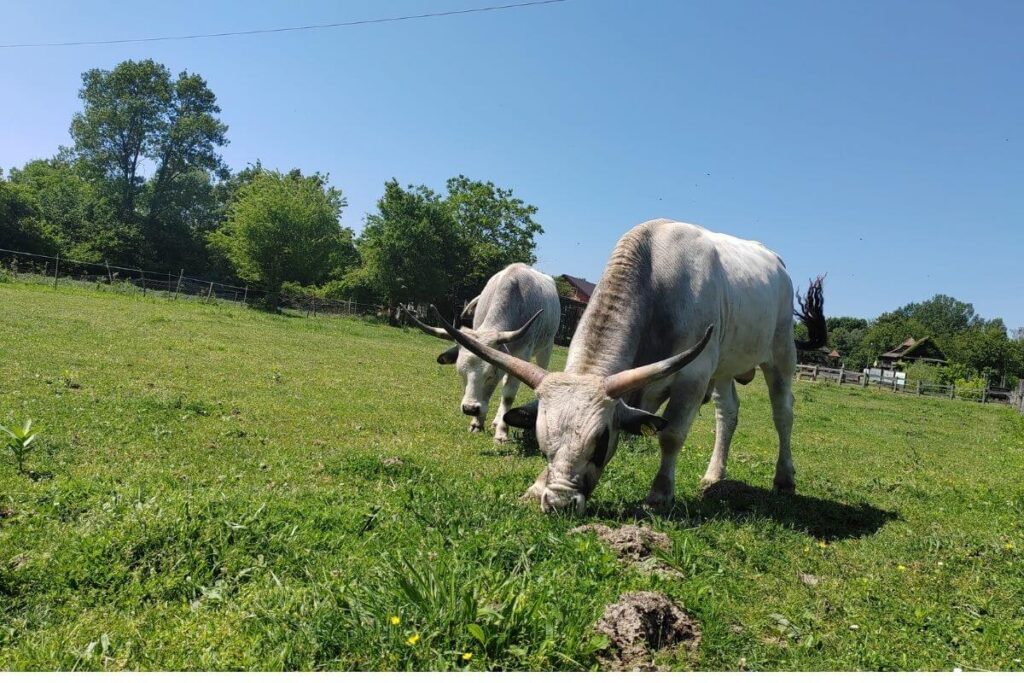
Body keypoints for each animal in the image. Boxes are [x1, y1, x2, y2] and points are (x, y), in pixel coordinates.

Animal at [405, 263, 560, 444]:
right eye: (461, 373)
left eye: (490, 375)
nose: (470, 409)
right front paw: (477, 424)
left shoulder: (523, 354)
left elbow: (508, 395)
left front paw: (502, 434)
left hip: (546, 348)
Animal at [427, 220, 826, 513]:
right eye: (542, 442)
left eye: (600, 441)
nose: (560, 503)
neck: (658, 277)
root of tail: (775, 261)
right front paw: (539, 484)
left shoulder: (693, 376)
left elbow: (670, 434)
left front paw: (660, 494)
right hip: (725, 369)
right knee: (727, 414)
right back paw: (714, 474)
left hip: (780, 354)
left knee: (783, 413)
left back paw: (784, 478)